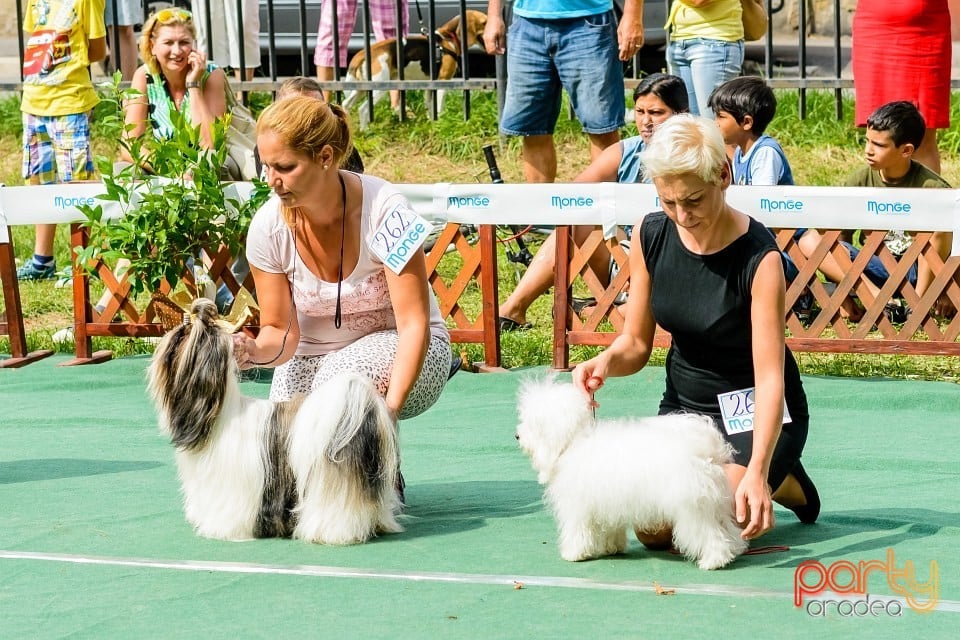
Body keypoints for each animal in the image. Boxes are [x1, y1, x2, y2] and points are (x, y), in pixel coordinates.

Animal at [344, 10, 488, 124]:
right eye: (484, 22)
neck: (448, 37)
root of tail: (363, 53)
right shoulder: (443, 81)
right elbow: (439, 108)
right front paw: (440, 124)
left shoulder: (431, 86)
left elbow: (431, 108)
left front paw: (432, 124)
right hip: (378, 88)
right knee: (363, 110)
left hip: (361, 89)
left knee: (346, 104)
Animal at [516, 376, 752, 568]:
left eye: (532, 424)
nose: (517, 436)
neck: (573, 440)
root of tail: (707, 448)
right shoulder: (607, 506)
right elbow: (610, 529)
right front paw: (611, 548)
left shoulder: (578, 506)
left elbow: (577, 531)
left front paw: (574, 554)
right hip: (715, 503)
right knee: (728, 529)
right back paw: (736, 549)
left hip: (693, 508)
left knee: (709, 535)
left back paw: (713, 561)